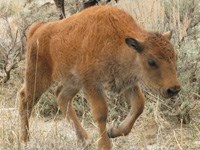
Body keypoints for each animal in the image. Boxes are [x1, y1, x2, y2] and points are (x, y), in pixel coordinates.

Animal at [19, 5, 180, 150]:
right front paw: (105, 145)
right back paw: (25, 141)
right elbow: (101, 113)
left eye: (174, 56)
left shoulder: (127, 82)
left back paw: (85, 140)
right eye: (151, 61)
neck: (119, 41)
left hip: (73, 82)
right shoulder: (92, 84)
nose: (173, 89)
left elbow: (139, 104)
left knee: (61, 97)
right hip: (38, 77)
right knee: (25, 100)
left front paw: (114, 131)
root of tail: (37, 29)